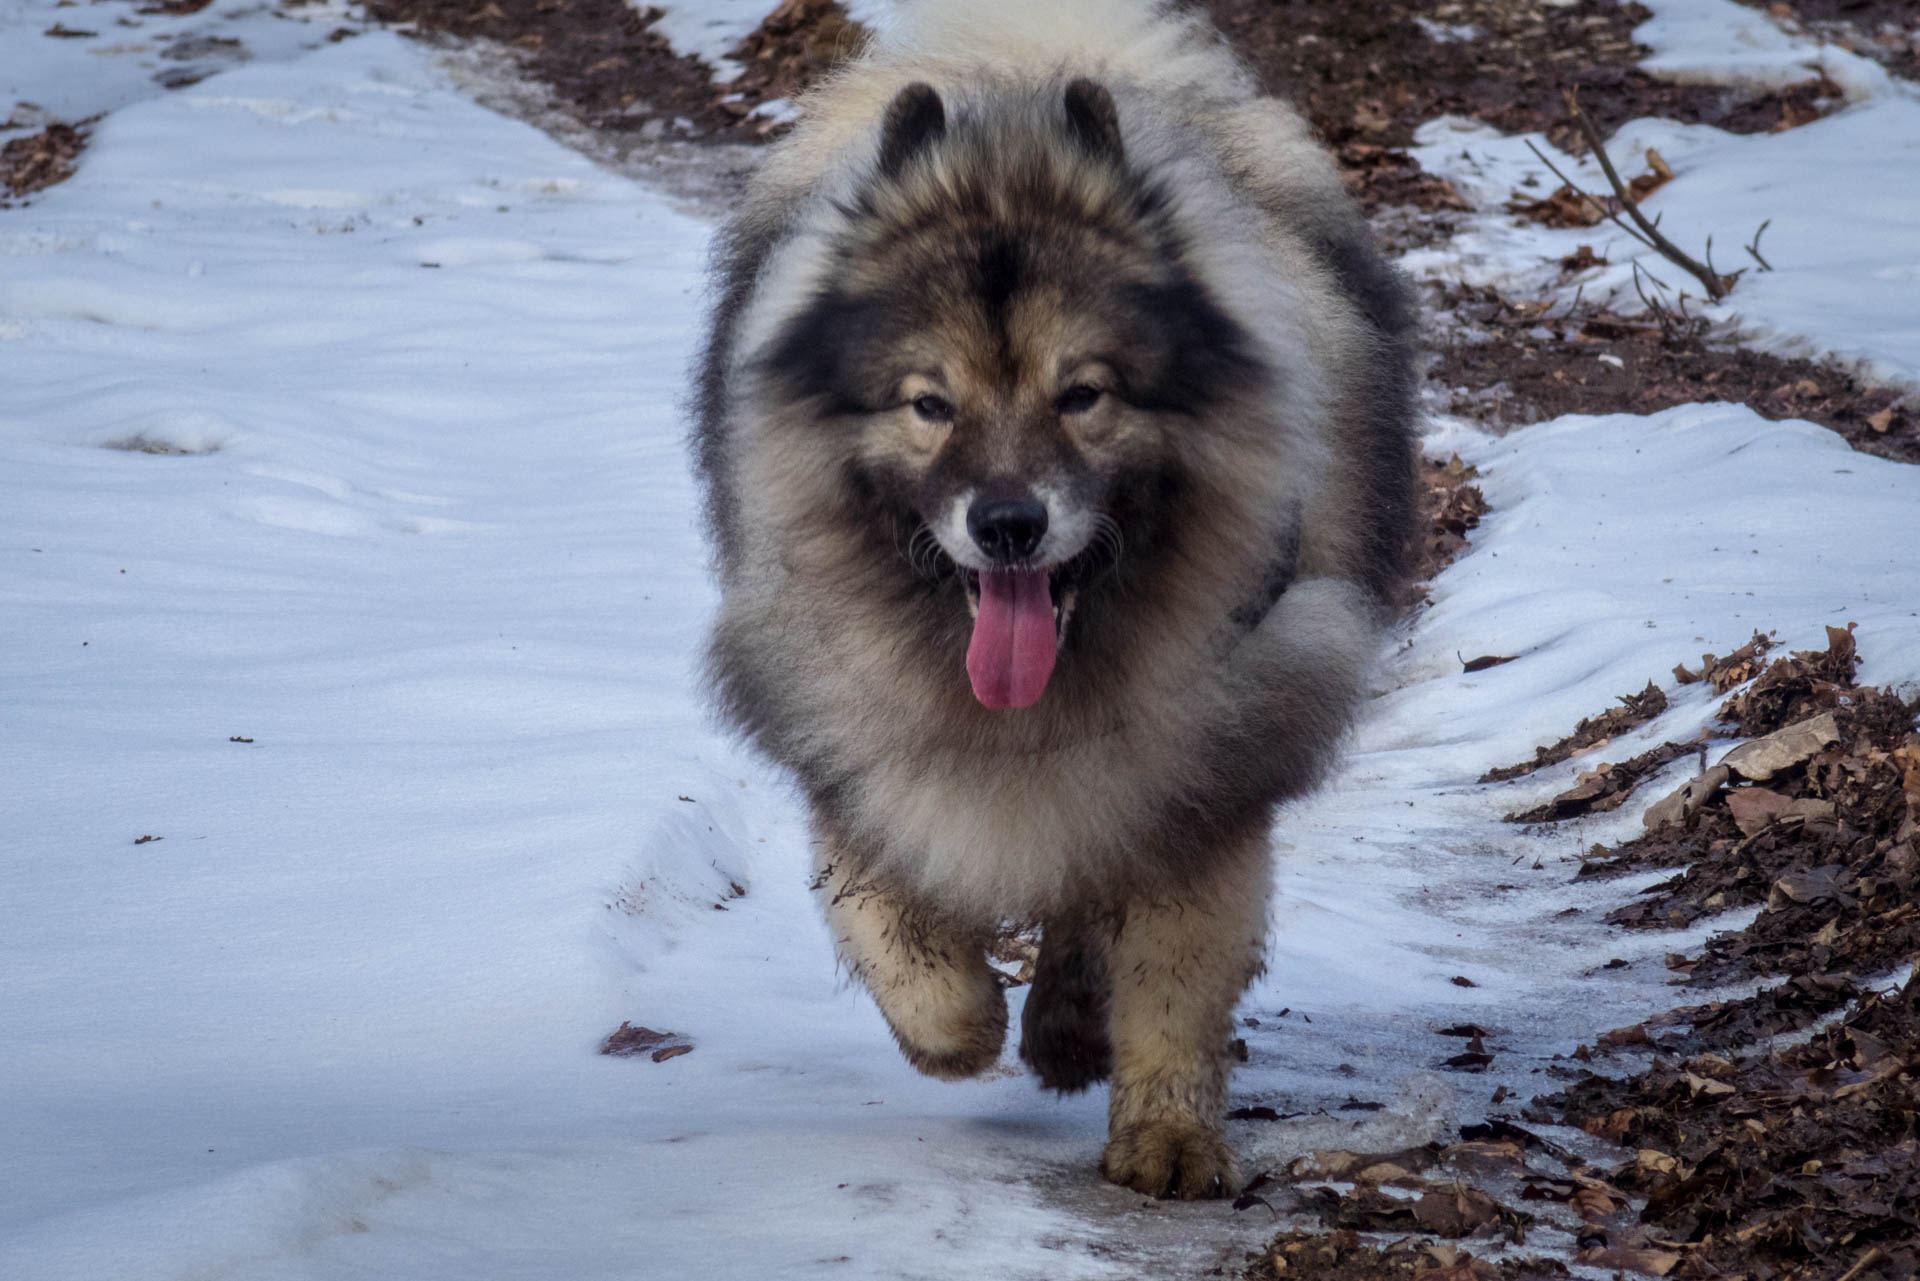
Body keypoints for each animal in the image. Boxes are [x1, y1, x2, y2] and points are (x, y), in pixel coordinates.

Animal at [698, 0, 1420, 1206]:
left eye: (1083, 396)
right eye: (930, 404)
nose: (1007, 523)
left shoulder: (1212, 749)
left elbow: (1171, 965)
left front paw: (1165, 1135)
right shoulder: (844, 717)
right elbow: (891, 919)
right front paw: (962, 1027)